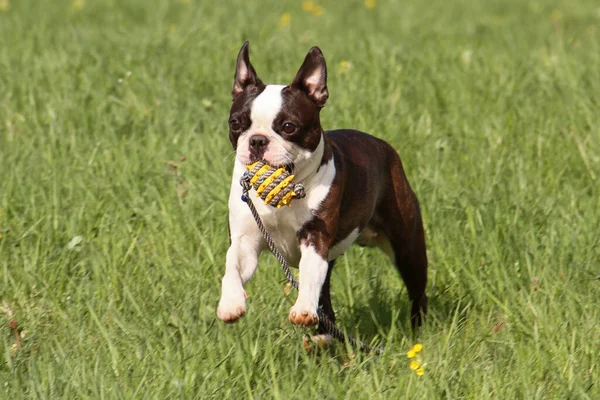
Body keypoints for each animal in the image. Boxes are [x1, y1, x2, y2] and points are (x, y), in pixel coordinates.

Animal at [216, 41, 426, 340]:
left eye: (289, 127)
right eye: (236, 123)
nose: (257, 140)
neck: (286, 192)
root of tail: (384, 147)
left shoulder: (315, 238)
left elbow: (309, 273)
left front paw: (303, 309)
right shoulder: (245, 240)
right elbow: (232, 266)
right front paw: (230, 303)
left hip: (407, 243)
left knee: (417, 289)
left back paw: (418, 327)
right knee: (325, 296)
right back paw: (323, 336)